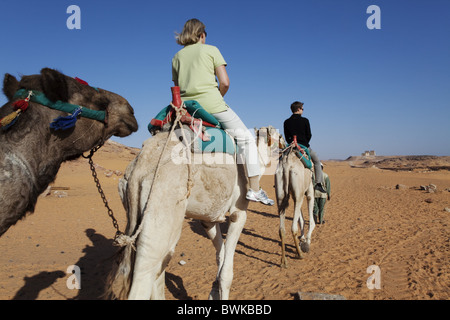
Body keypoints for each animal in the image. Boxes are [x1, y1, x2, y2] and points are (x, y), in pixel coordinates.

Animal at [107, 117, 274, 300]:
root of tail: (139, 169)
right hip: (160, 213)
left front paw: (213, 292)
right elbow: (227, 273)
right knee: (144, 278)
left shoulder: (208, 219)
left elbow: (220, 255)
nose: (283, 143)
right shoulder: (239, 211)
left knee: (157, 272)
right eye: (277, 135)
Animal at [272, 131, 314, 268]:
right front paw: (306, 242)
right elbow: (310, 220)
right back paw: (299, 254)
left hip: (280, 194)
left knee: (282, 229)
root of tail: (286, 164)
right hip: (299, 192)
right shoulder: (309, 190)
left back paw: (283, 261)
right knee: (293, 228)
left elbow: (302, 218)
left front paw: (303, 240)